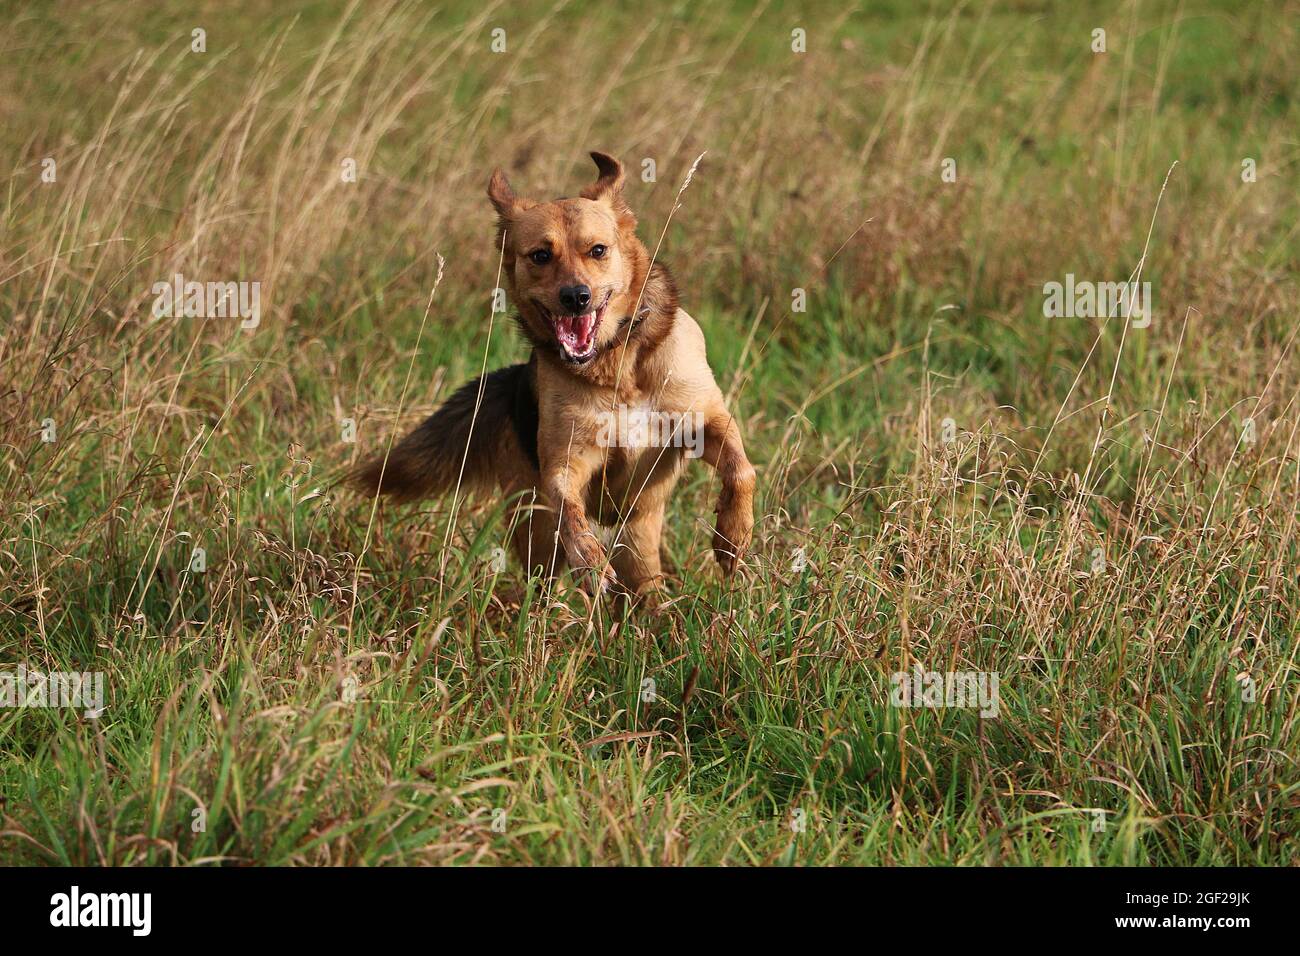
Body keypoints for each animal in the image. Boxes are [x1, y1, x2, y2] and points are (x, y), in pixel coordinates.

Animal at [356, 151, 759, 598]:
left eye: (597, 250)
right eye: (540, 256)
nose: (576, 297)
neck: (614, 362)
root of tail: (514, 380)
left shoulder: (704, 418)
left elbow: (743, 470)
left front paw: (733, 535)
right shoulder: (566, 461)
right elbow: (570, 508)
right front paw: (589, 558)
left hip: (637, 541)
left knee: (644, 589)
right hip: (537, 528)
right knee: (547, 578)